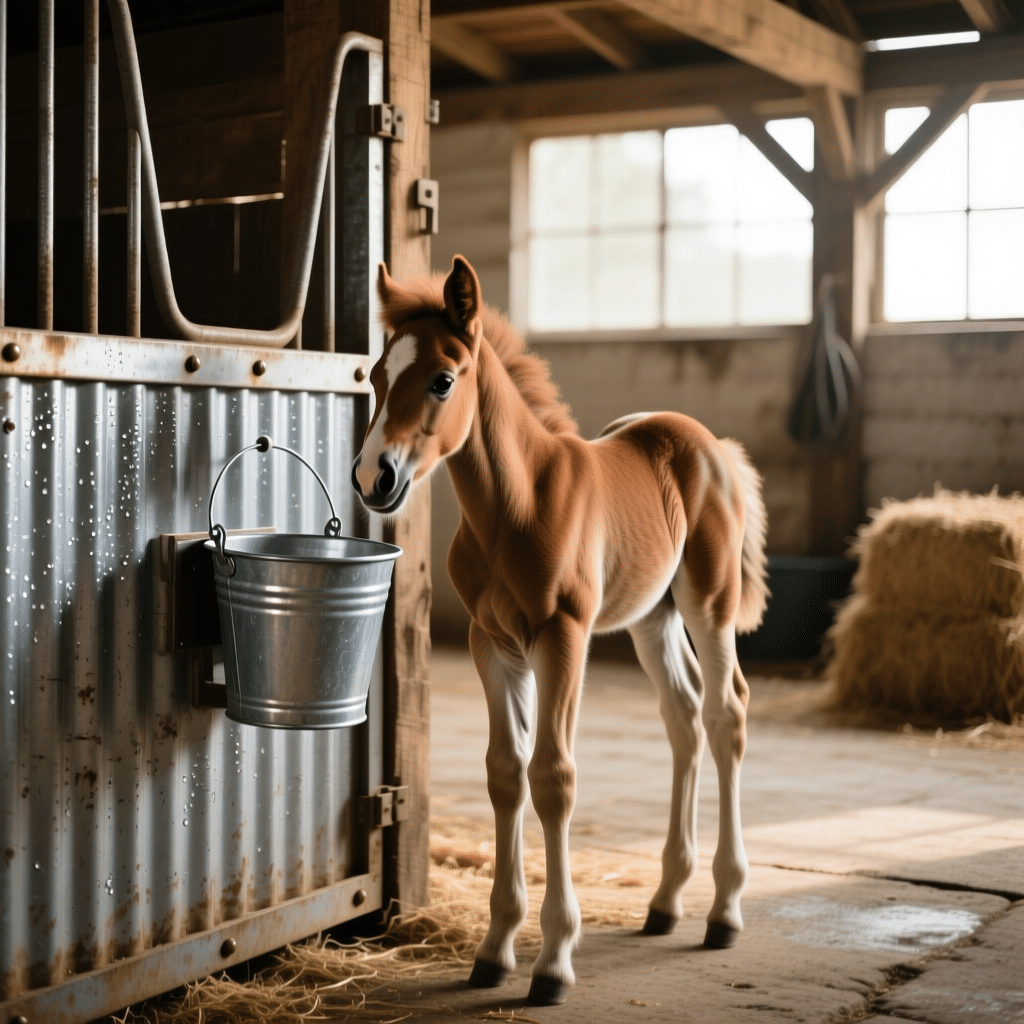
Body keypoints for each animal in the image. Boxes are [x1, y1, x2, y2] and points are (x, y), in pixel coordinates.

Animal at [352, 255, 769, 1006]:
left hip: (709, 603)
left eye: (442, 379)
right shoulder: (493, 644)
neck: (516, 505)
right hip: (652, 617)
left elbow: (552, 776)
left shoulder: (562, 636)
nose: (374, 476)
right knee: (684, 715)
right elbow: (505, 773)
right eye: (375, 375)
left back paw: (724, 911)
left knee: (727, 714)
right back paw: (666, 901)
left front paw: (553, 961)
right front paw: (493, 950)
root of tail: (710, 445)